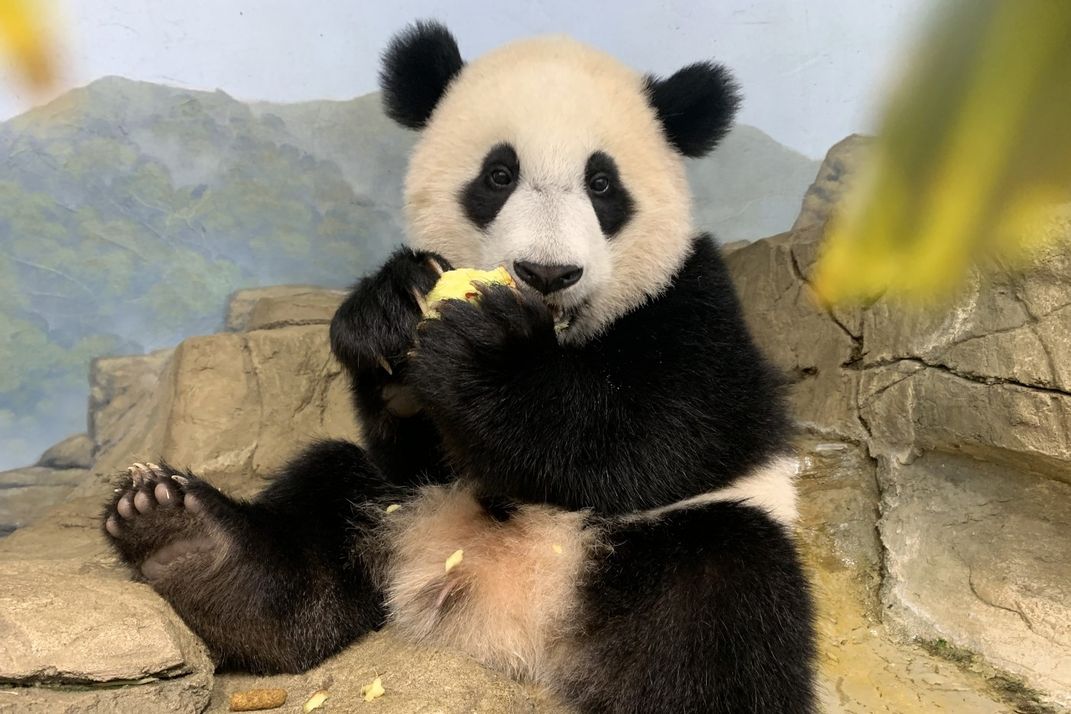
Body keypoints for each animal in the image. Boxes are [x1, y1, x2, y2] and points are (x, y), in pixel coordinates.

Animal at [104, 19, 813, 710]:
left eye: (602, 184)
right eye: (498, 176)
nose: (547, 273)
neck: (556, 339)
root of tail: (509, 617)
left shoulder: (695, 299)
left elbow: (665, 429)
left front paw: (488, 355)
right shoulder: (417, 458)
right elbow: (412, 442)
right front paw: (389, 310)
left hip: (675, 548)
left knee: (717, 603)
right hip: (397, 503)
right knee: (324, 493)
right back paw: (188, 542)